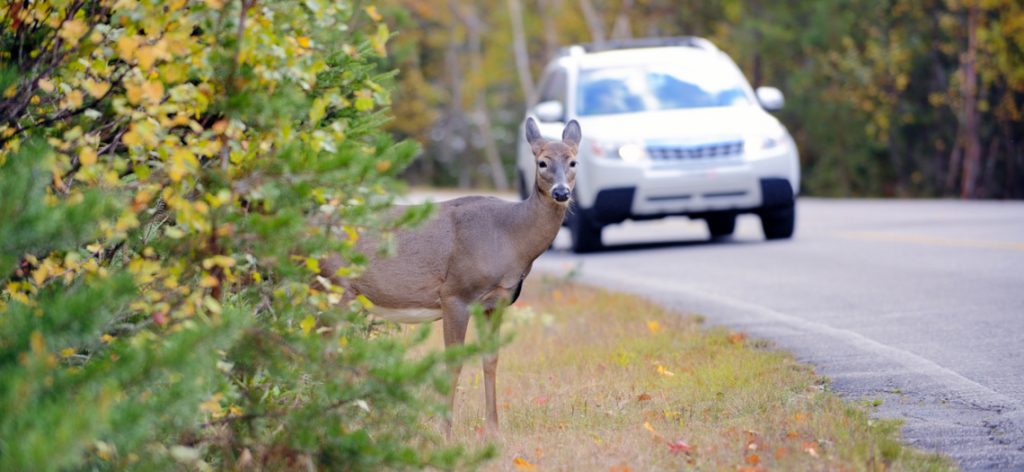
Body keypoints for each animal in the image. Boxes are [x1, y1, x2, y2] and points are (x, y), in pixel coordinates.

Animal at [321, 116, 577, 434]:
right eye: (542, 162)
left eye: (573, 162)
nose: (561, 192)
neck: (509, 236)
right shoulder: (455, 293)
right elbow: (452, 363)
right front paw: (444, 431)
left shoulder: (497, 301)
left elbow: (491, 359)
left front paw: (493, 429)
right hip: (334, 285)